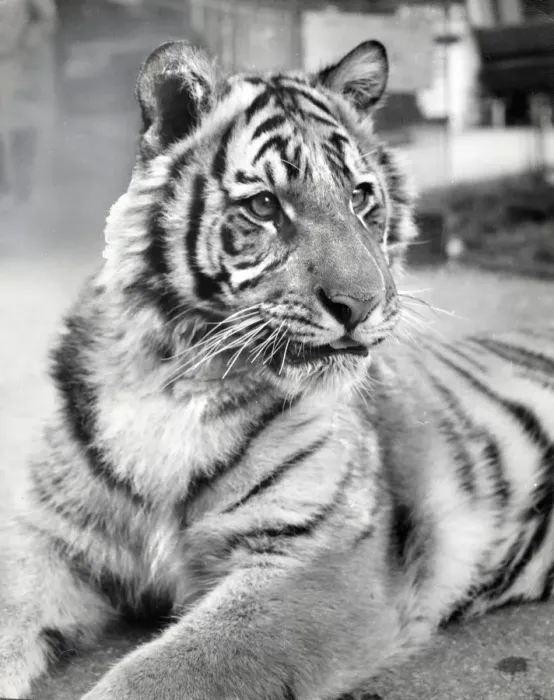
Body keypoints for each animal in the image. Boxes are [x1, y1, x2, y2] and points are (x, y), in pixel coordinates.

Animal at [1, 38, 553, 700]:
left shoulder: (315, 563)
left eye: (359, 197)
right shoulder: (48, 537)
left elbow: (158, 674)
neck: (171, 378)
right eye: (265, 206)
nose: (361, 305)